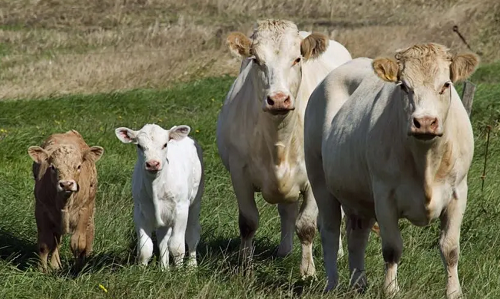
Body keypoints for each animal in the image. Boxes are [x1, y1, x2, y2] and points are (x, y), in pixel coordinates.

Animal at [27, 130, 103, 274]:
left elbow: (78, 244)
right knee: (57, 240)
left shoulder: (84, 211)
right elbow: (45, 244)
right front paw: (42, 270)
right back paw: (55, 264)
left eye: (78, 166)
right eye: (52, 167)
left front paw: (77, 269)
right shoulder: (41, 210)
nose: (66, 184)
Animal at [115, 123, 203, 270]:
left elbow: (177, 246)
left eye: (165, 144)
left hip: (195, 202)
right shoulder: (139, 211)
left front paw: (180, 271)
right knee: (163, 239)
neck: (156, 186)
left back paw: (191, 266)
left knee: (192, 234)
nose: (152, 164)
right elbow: (145, 248)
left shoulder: (181, 209)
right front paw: (141, 271)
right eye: (139, 146)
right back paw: (164, 269)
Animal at [216, 18, 352, 276]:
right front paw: (246, 268)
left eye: (297, 59)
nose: (278, 99)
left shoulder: (313, 178)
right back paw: (284, 250)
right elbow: (248, 223)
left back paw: (338, 252)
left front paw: (308, 271)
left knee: (334, 215)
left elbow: (307, 225)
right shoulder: (239, 174)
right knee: (287, 211)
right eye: (256, 60)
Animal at [302, 43, 478, 298]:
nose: (425, 122)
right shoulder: (385, 196)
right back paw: (332, 284)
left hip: (358, 197)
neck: (426, 161)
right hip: (319, 181)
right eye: (404, 86)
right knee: (330, 232)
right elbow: (392, 249)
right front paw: (391, 289)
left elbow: (450, 248)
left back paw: (358, 283)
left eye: (446, 84)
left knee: (357, 236)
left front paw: (454, 292)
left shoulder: (458, 193)